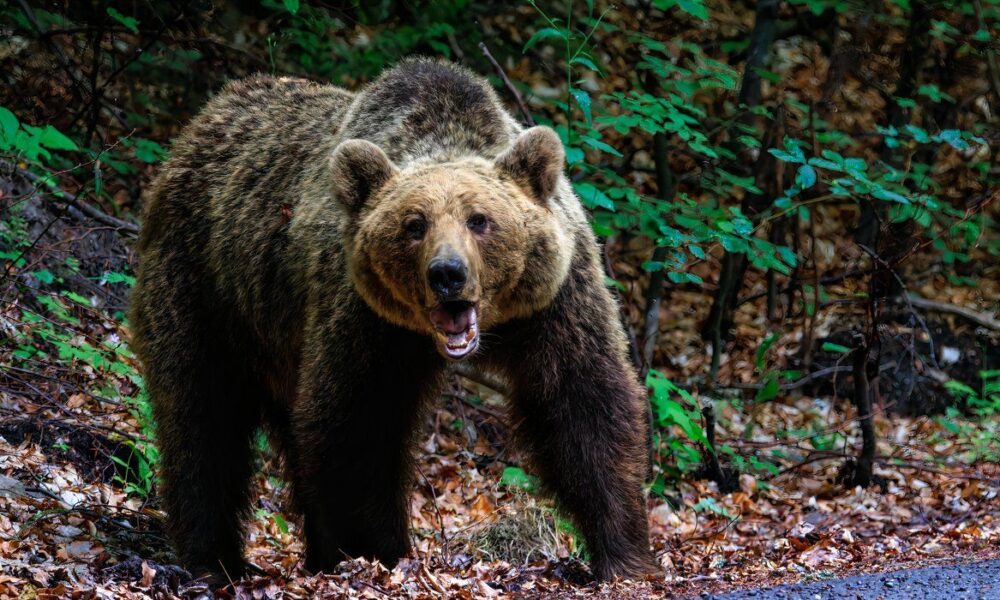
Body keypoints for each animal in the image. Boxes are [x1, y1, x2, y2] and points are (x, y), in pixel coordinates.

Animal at [129, 57, 656, 581]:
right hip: (205, 290)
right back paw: (214, 558)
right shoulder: (365, 319)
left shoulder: (554, 302)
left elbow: (584, 404)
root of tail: (199, 125)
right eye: (414, 225)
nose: (447, 274)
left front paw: (622, 553)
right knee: (202, 417)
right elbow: (358, 423)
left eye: (479, 219)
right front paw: (377, 551)